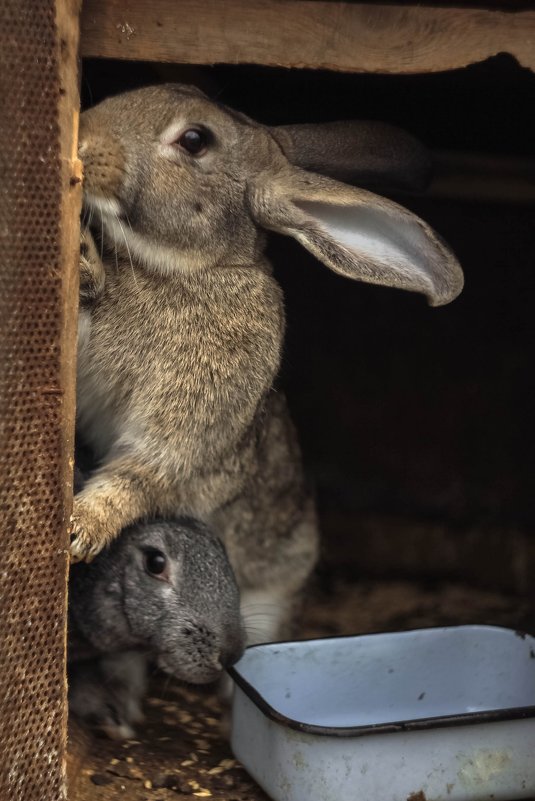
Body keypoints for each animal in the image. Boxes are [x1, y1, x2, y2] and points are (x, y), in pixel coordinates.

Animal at [71, 83, 464, 636]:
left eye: (195, 140)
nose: (84, 139)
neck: (189, 271)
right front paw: (84, 260)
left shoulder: (187, 422)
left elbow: (139, 474)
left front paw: (79, 529)